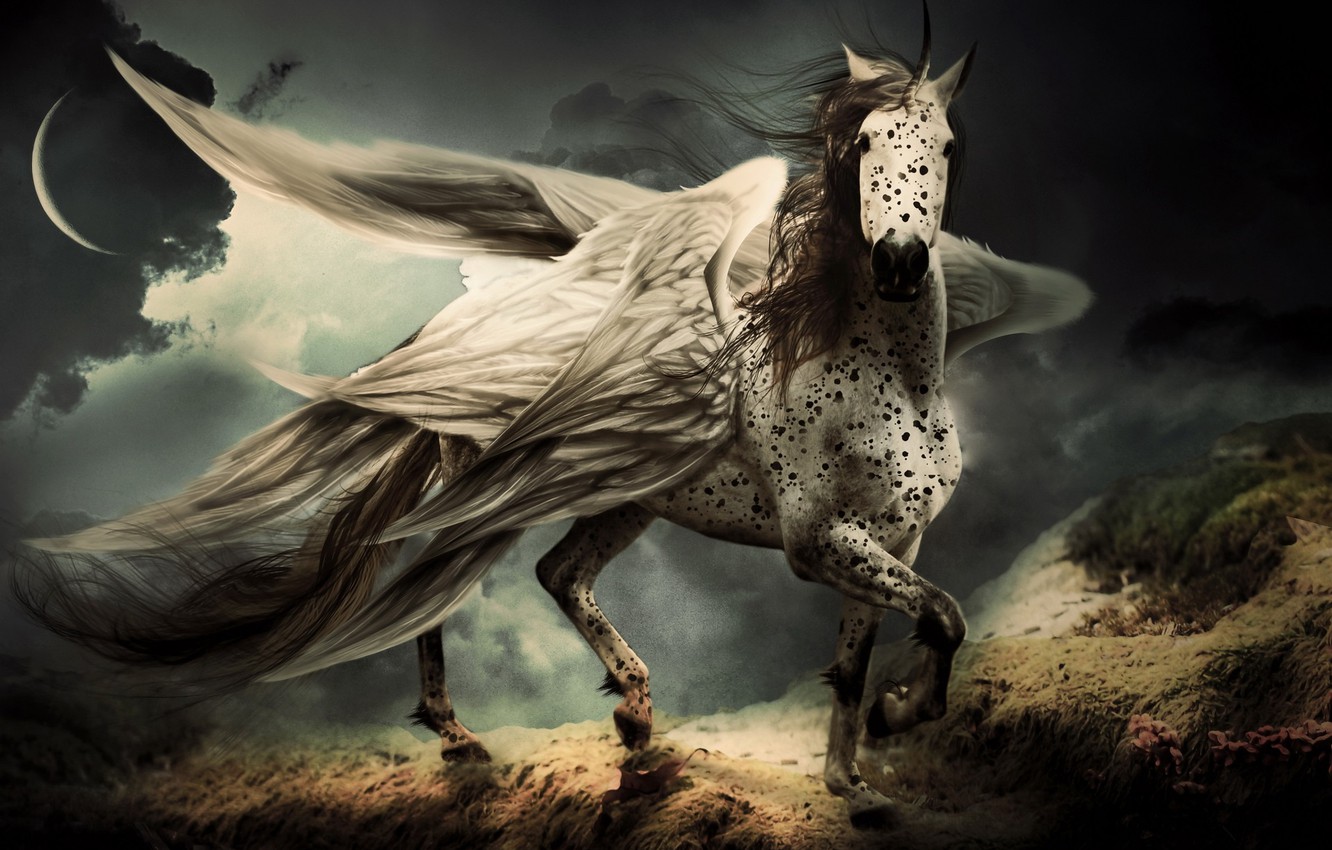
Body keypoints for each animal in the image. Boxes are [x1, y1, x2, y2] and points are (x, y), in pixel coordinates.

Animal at [19, 20, 1091, 825]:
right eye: (863, 145)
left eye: (945, 148)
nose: (901, 262)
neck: (883, 373)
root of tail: (464, 319)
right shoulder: (818, 539)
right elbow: (944, 617)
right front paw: (904, 719)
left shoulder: (892, 536)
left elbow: (860, 658)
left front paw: (856, 784)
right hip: (501, 484)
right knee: (438, 584)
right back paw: (464, 736)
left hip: (624, 499)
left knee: (557, 574)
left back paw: (635, 721)